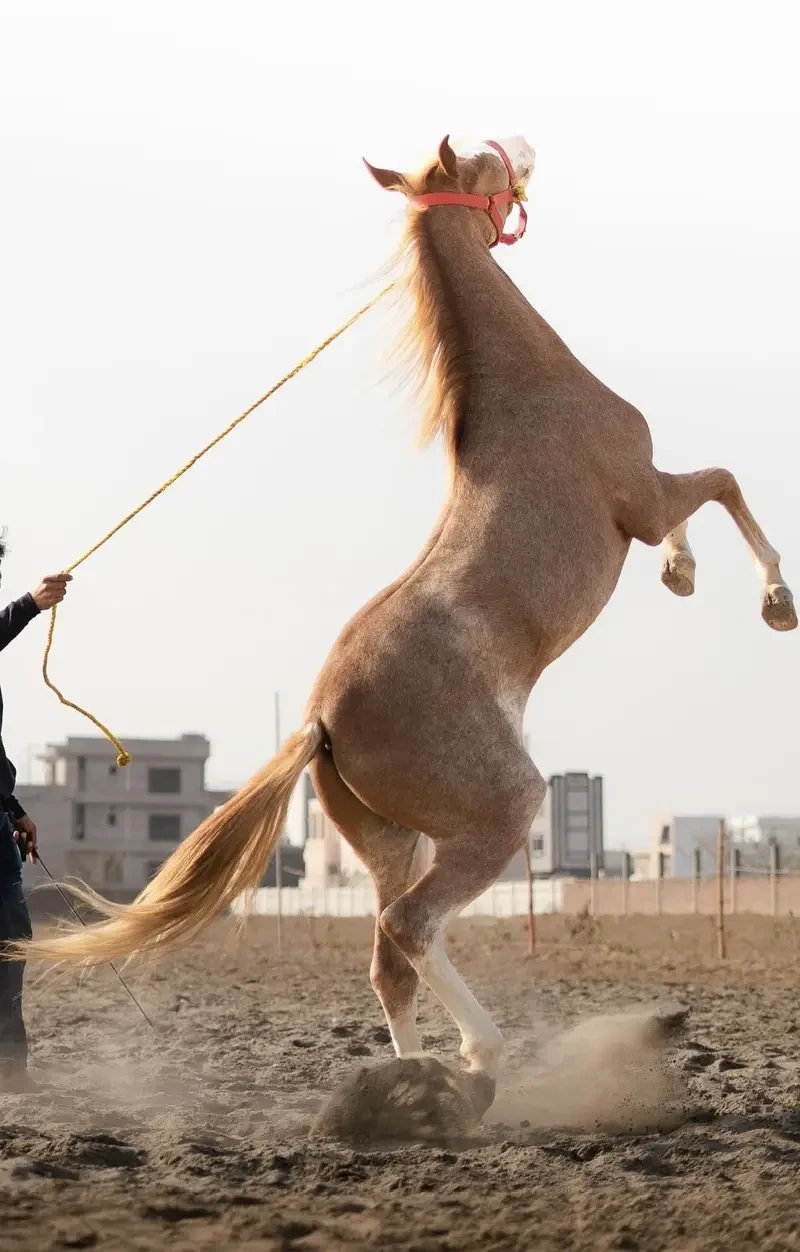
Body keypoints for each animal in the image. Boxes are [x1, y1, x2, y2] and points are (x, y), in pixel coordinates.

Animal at [16, 133, 795, 1099]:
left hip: (393, 842)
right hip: (500, 811)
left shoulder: (648, 500)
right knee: (409, 929)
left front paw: (682, 575)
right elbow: (722, 484)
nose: (524, 148)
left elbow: (699, 510)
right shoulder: (643, 498)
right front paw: (774, 602)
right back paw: (478, 1058)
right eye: (485, 165)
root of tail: (319, 722)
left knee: (388, 958)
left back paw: (424, 1085)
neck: (531, 390)